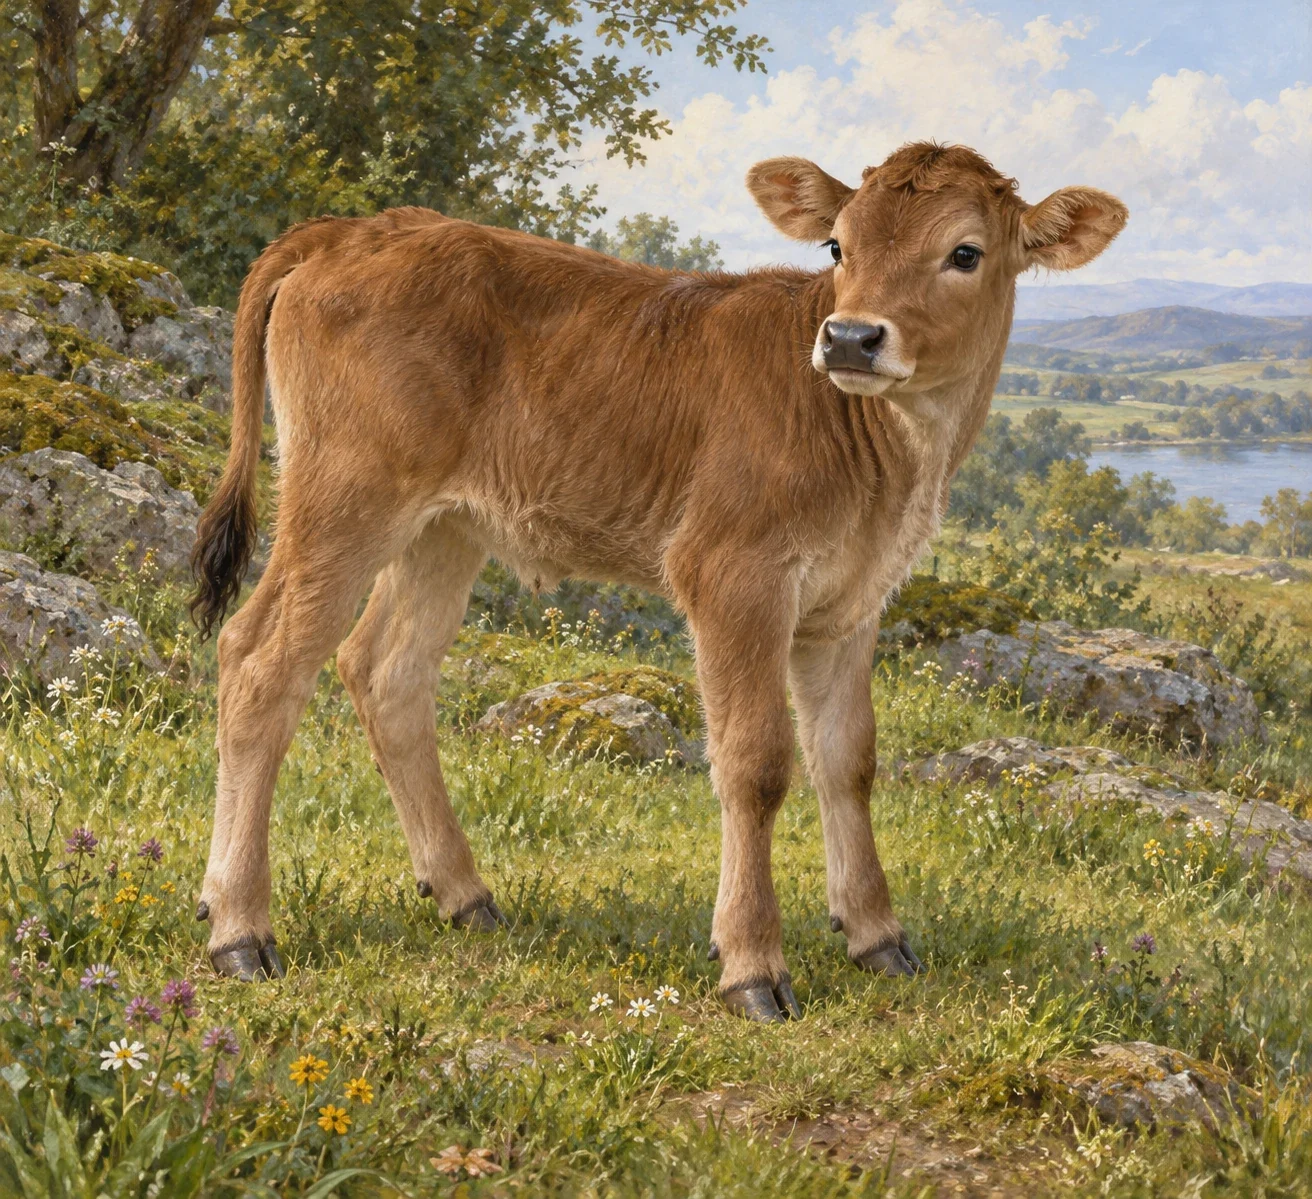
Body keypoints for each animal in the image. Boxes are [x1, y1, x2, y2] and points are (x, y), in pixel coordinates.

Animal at [190, 141, 1126, 1021]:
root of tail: (358, 228)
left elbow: (848, 758)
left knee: (385, 672)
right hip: (346, 495)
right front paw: (752, 964)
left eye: (965, 252)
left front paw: (876, 934)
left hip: (444, 527)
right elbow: (756, 762)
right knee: (258, 660)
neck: (891, 461)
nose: (851, 338)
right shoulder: (733, 573)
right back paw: (239, 926)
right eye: (839, 244)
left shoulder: (851, 601)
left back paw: (463, 894)